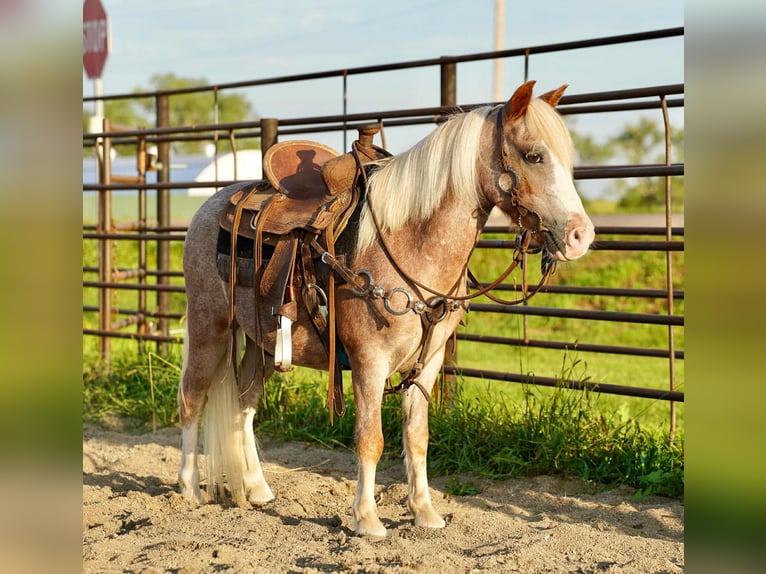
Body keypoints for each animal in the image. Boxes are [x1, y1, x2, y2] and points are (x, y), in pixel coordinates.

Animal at [176, 81, 595, 538]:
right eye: (534, 155)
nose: (581, 236)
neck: (408, 243)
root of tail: (212, 205)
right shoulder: (369, 362)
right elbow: (370, 438)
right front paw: (367, 519)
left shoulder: (428, 362)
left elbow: (417, 436)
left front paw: (424, 512)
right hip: (209, 328)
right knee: (192, 398)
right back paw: (189, 490)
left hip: (261, 342)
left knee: (244, 405)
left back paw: (256, 488)